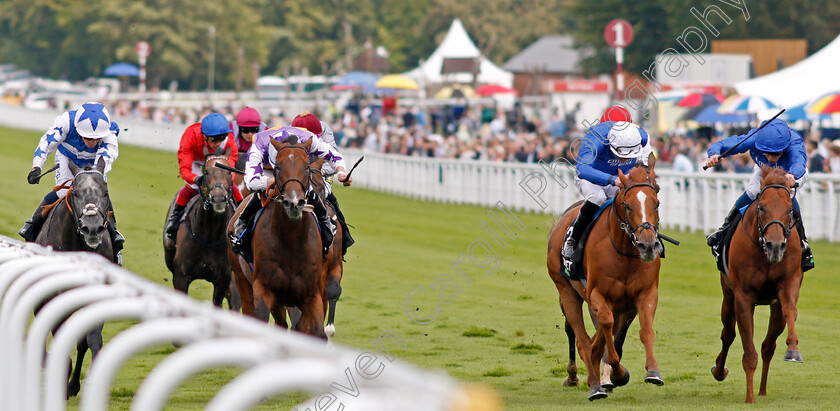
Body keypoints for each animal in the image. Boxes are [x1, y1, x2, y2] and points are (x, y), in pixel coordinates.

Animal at [163, 150, 240, 310]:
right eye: (206, 172)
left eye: (229, 172)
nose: (218, 198)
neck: (210, 236)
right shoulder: (181, 276)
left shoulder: (223, 280)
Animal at [230, 136, 328, 342]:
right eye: (277, 167)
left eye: (306, 166)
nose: (294, 202)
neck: (291, 241)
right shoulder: (264, 288)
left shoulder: (311, 295)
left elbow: (316, 333)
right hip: (242, 279)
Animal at [548, 156, 668, 400]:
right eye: (627, 205)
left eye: (657, 202)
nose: (648, 245)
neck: (624, 251)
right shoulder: (597, 294)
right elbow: (605, 327)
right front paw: (617, 374)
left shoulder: (643, 294)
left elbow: (643, 330)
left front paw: (653, 371)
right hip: (566, 291)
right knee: (579, 337)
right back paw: (591, 384)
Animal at [712, 166, 804, 404]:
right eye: (761, 207)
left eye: (790, 210)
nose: (775, 246)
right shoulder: (744, 297)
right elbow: (748, 352)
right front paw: (749, 397)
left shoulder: (787, 286)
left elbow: (791, 311)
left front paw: (793, 349)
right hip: (728, 296)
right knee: (728, 334)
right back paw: (720, 371)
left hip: (774, 308)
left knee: (768, 346)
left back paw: (762, 389)